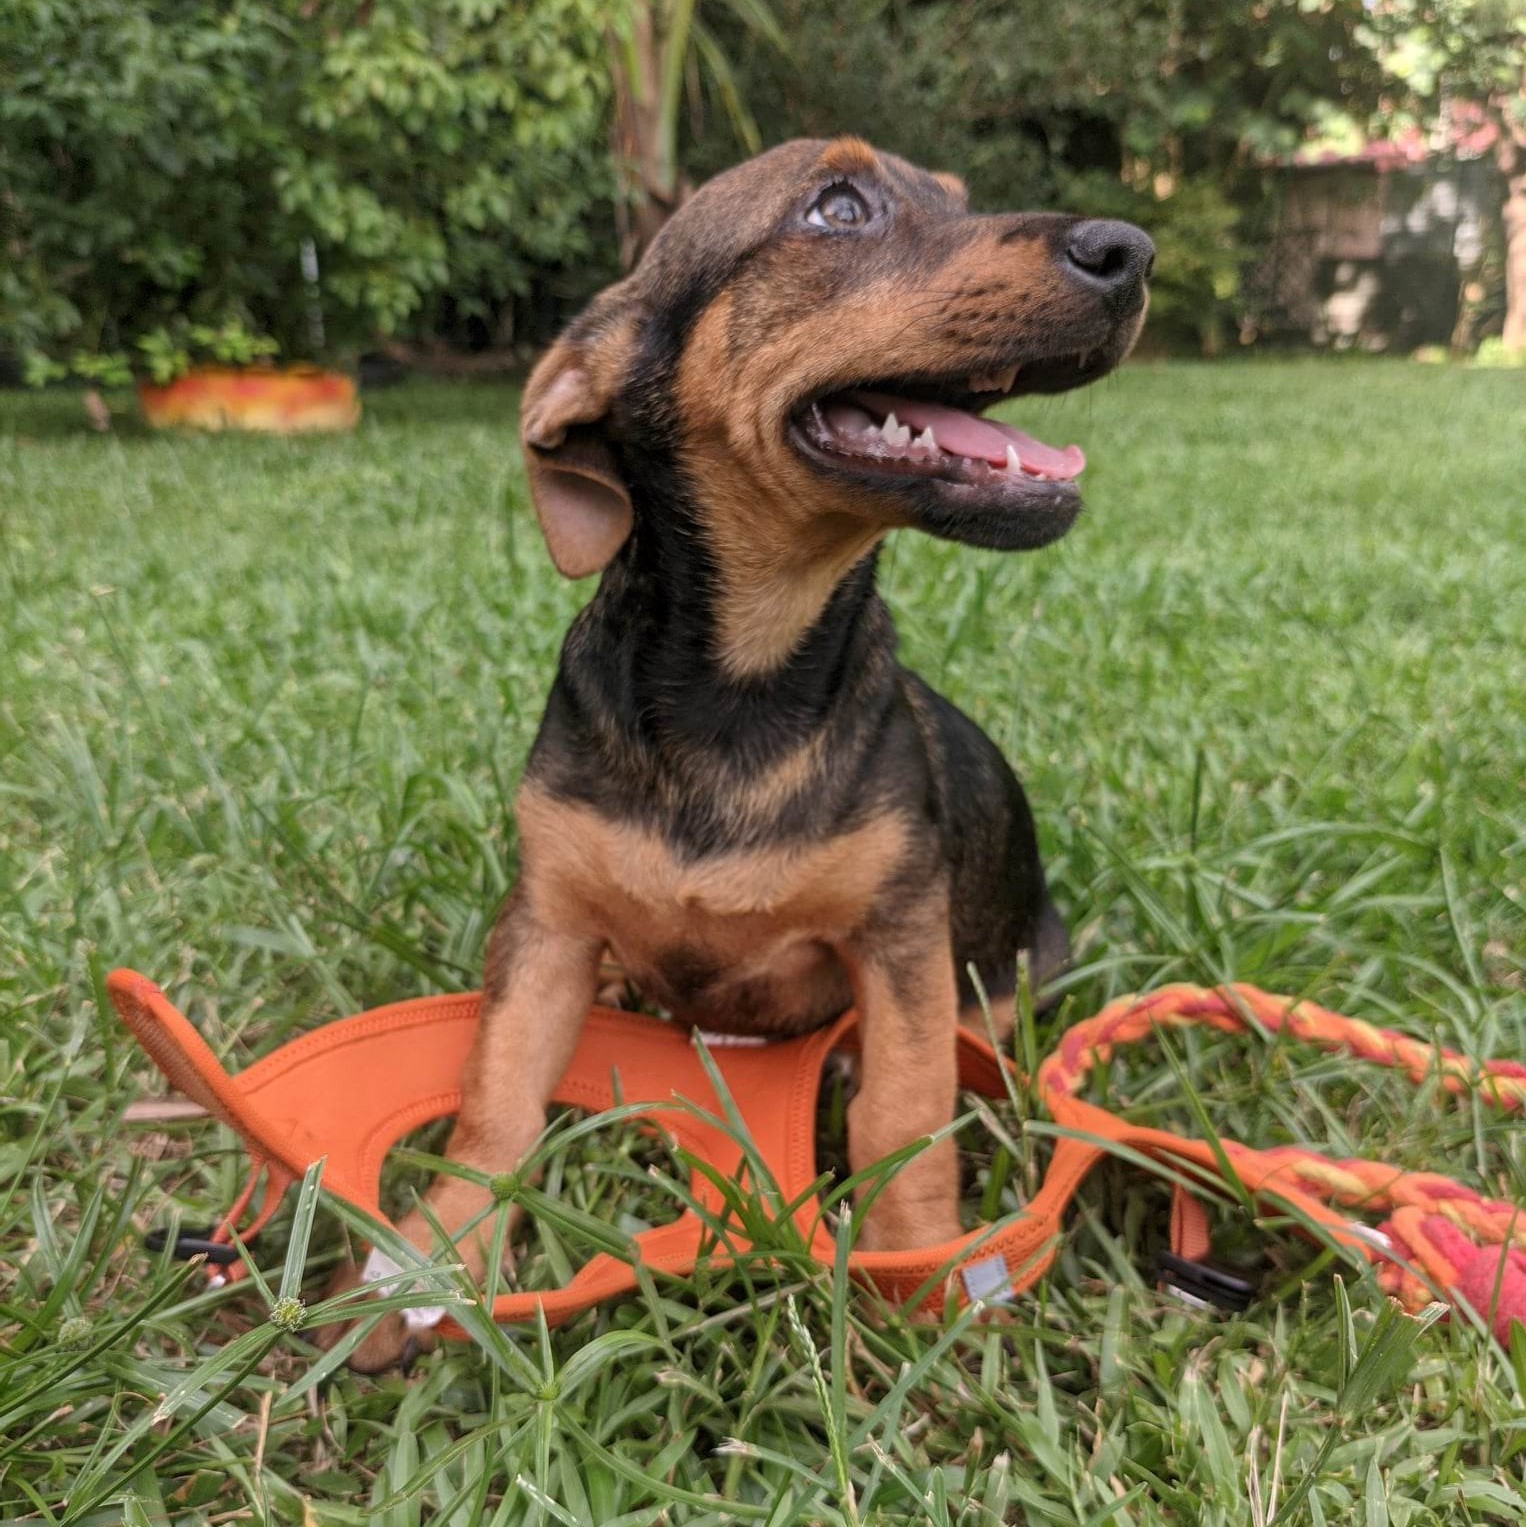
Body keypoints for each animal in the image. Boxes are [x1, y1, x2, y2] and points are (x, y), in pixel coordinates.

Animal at [331, 137, 1148, 1368]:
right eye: (838, 206)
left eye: (956, 199)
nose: (1131, 250)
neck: (741, 681)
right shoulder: (547, 924)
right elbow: (497, 1097)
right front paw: (435, 1255)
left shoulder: (900, 936)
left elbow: (901, 1112)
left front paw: (923, 1269)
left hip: (1002, 983)